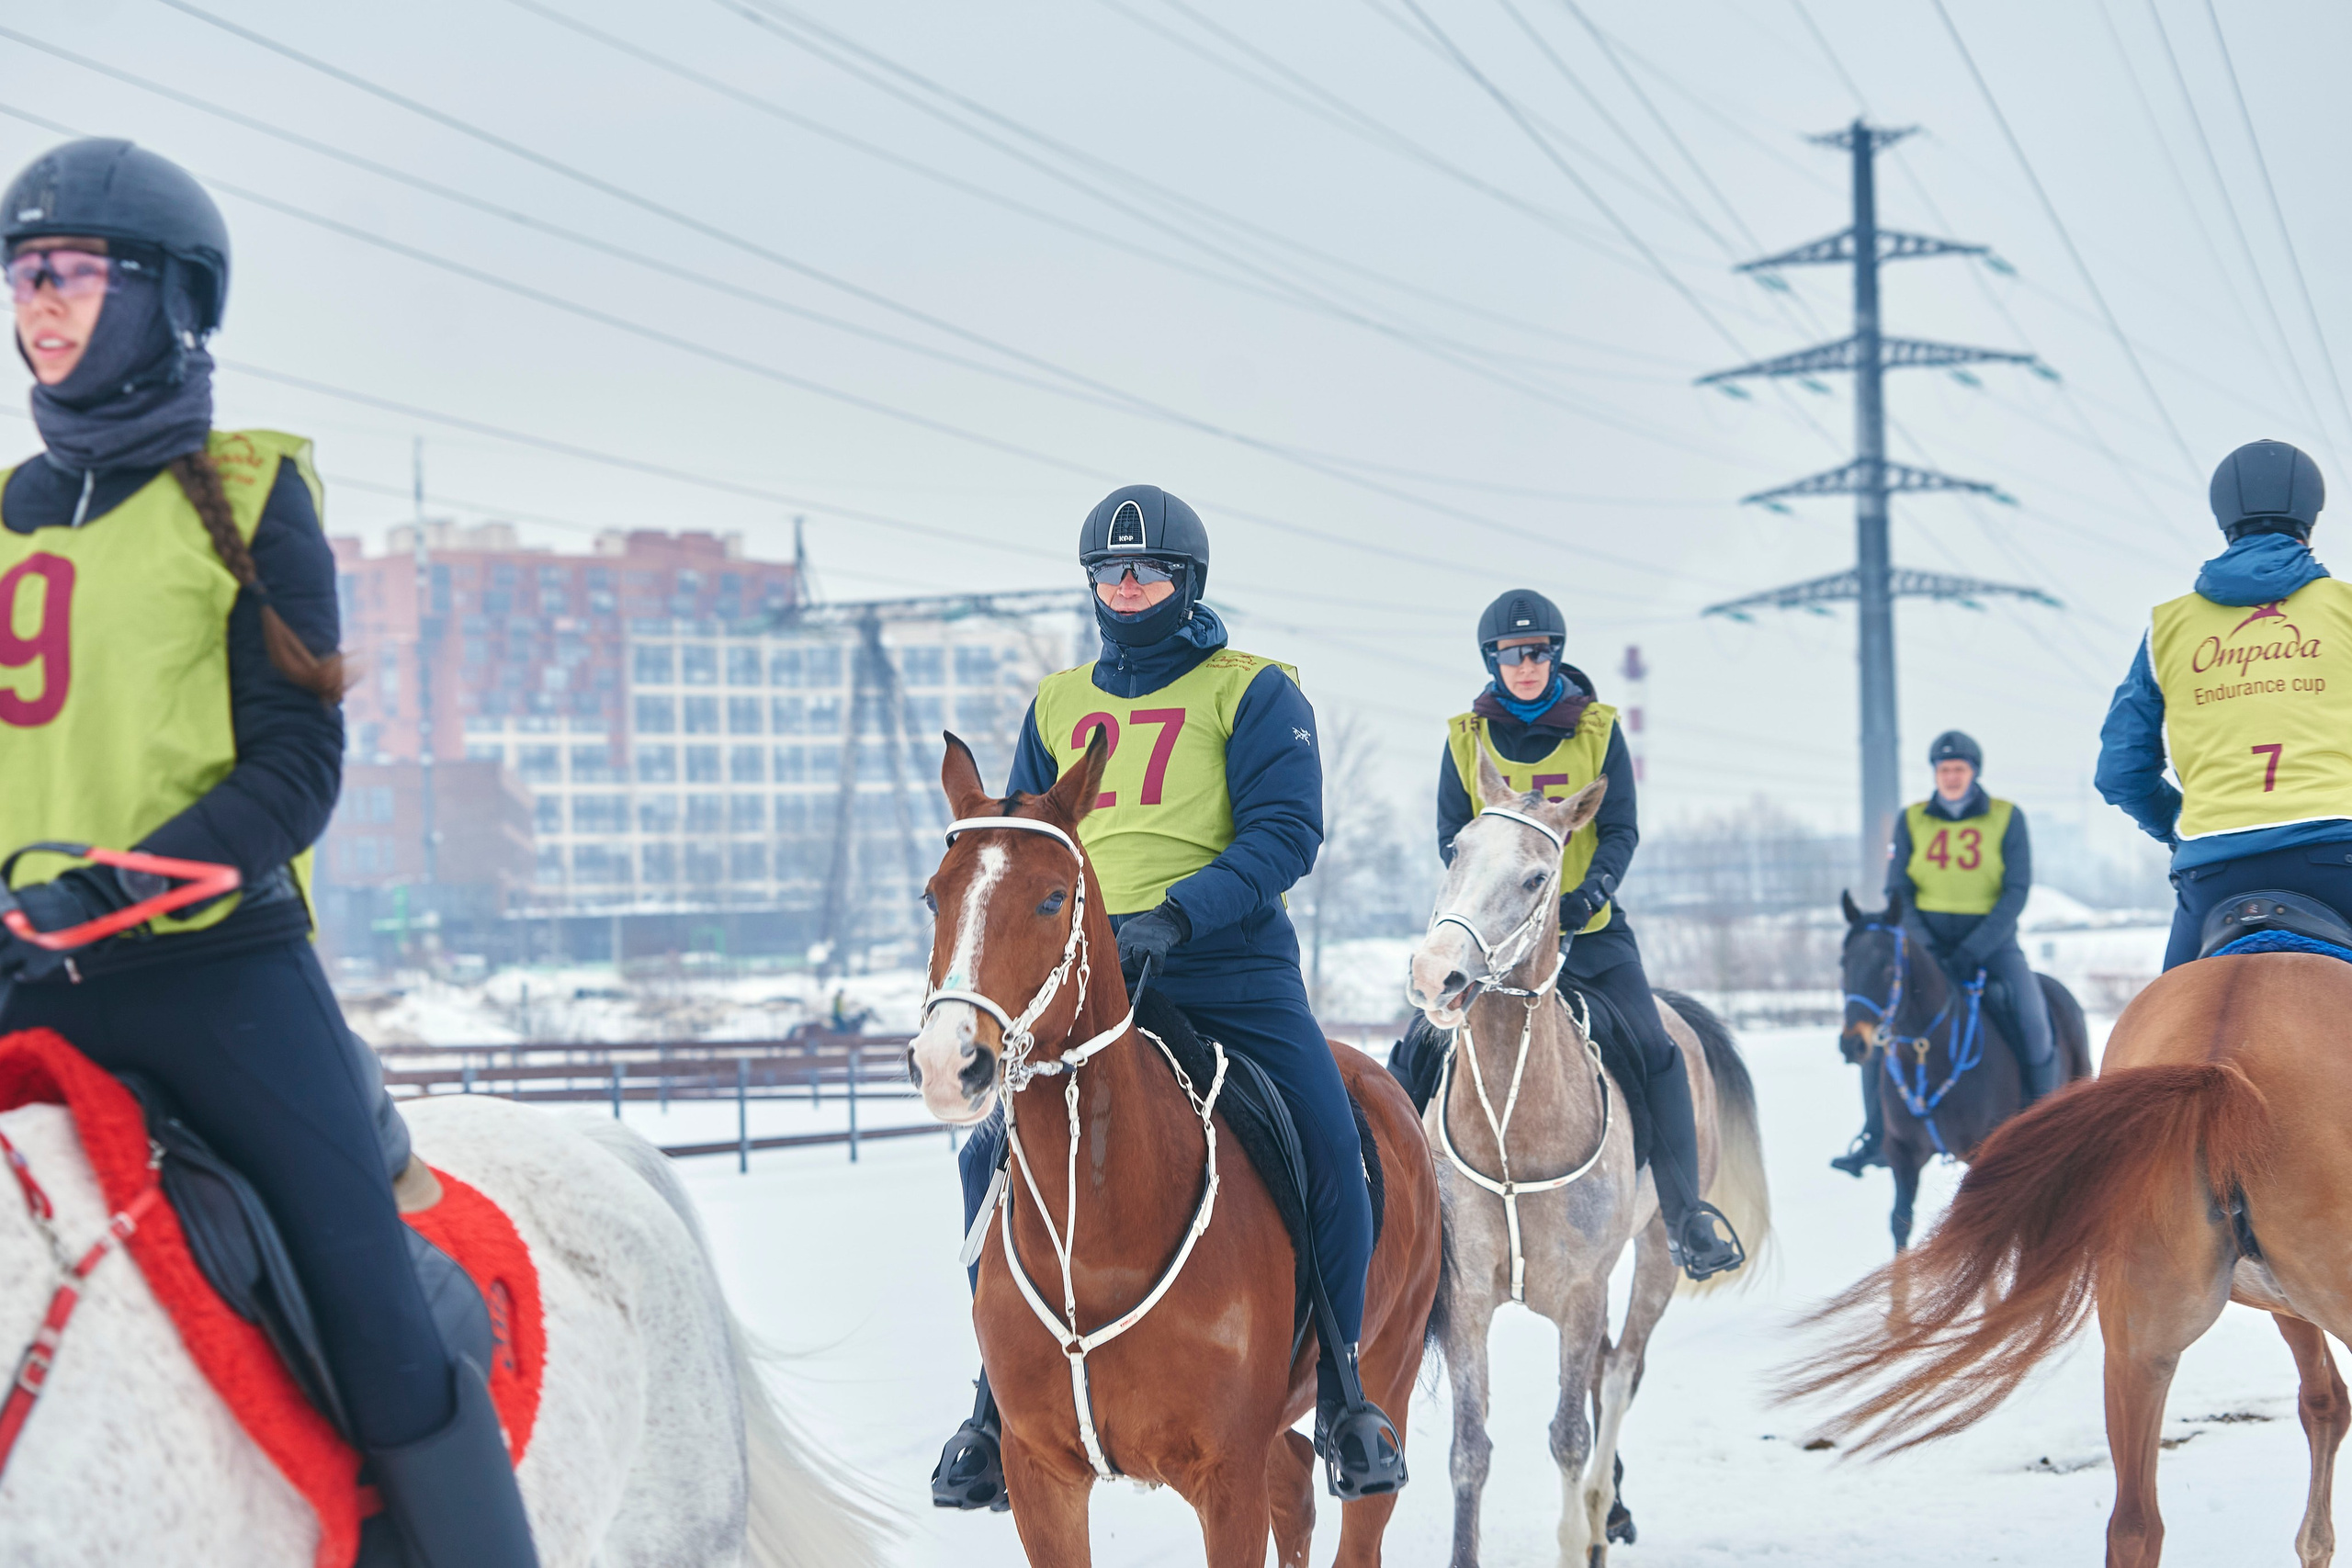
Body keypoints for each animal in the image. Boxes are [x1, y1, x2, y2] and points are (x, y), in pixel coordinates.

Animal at [905, 733, 1442, 1568]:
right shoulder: (1041, 1478)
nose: (948, 1062)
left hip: (1389, 1365)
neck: (1099, 1238)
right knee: (1294, 1487)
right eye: (935, 895)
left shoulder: (1226, 1479)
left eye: (1052, 897)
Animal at [1406, 761, 1771, 1568]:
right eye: (1455, 850)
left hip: (1656, 1256)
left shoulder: (1579, 1293)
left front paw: (1579, 1535)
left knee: (1622, 1371)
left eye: (1537, 877)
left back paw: (1604, 1510)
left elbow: (1570, 1434)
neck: (1514, 1130)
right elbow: (1469, 1450)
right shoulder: (1467, 1297)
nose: (1435, 974)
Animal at [1782, 947, 2352, 1567]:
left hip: (2137, 1349)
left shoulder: (2282, 1303)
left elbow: (2323, 1403)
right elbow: (2326, 1403)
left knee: (2134, 1527)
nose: (1855, 1042)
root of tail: (2219, 1062)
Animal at [1839, 888, 2093, 1250]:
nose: (1852, 1044)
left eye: (1888, 967)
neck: (1927, 1056)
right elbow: (1900, 1223)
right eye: (1844, 964)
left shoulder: (1983, 1154)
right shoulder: (1903, 1155)